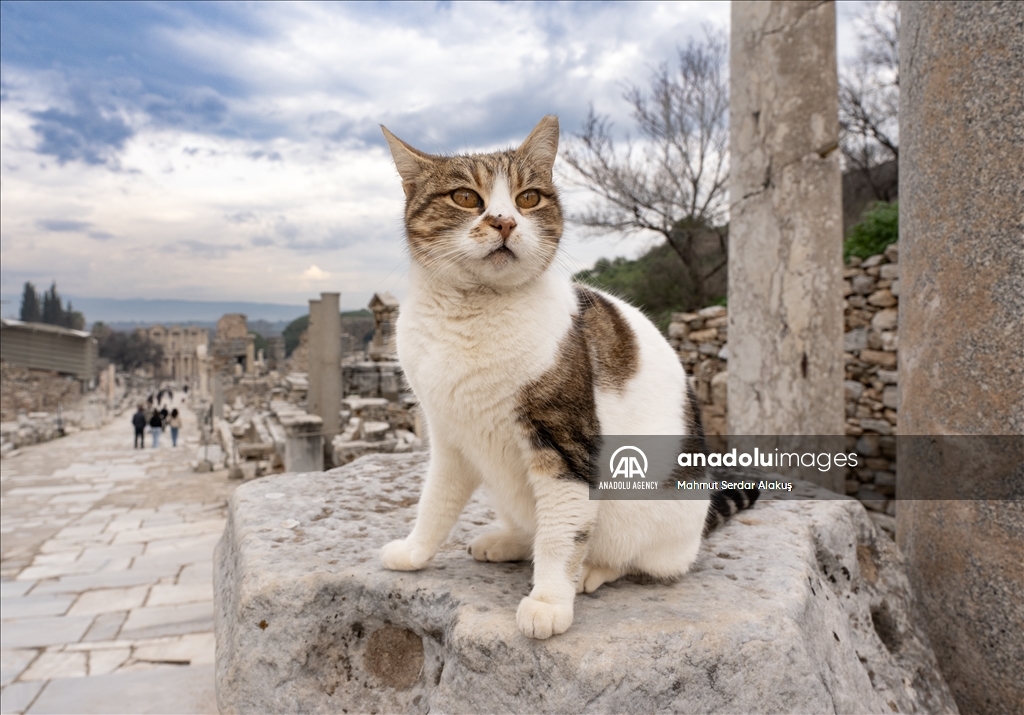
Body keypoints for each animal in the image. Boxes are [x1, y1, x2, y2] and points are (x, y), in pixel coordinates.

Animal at [380, 114, 757, 639]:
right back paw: (509, 541)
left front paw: (549, 600)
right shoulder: (449, 435)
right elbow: (435, 502)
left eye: (528, 199)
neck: (470, 316)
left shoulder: (564, 440)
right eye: (466, 198)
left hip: (655, 516)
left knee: (638, 559)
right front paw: (415, 552)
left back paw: (591, 571)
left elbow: (563, 533)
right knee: (530, 526)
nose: (504, 221)